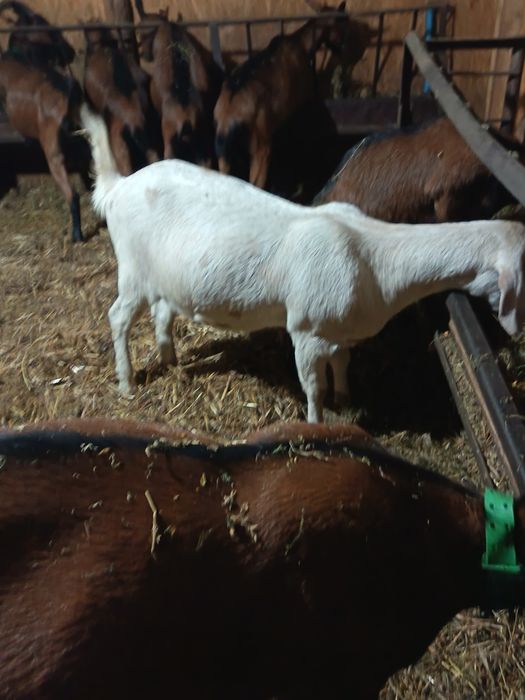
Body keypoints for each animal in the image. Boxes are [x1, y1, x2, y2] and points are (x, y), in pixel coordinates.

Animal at [134, 0, 223, 165]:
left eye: (141, 32)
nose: (144, 54)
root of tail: (186, 119)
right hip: (202, 141)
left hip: (170, 138)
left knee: (169, 156)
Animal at [214, 1, 373, 189]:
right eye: (344, 22)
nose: (343, 48)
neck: (301, 45)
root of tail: (228, 119)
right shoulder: (301, 102)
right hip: (261, 148)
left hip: (224, 156)